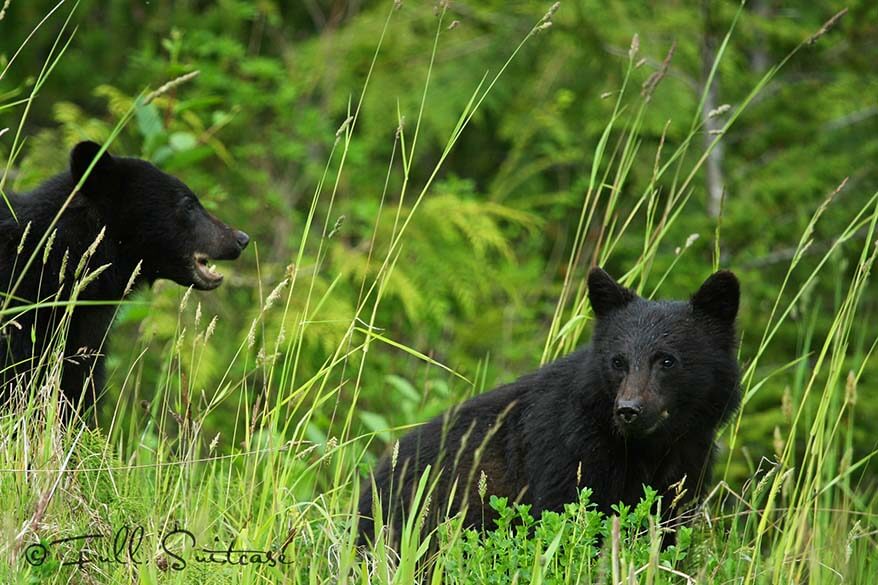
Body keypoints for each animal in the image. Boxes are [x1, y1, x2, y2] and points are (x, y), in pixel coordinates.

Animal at [358, 266, 744, 544]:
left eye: (667, 360)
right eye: (618, 361)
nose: (628, 410)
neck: (650, 447)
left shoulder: (686, 467)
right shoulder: (569, 453)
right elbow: (568, 518)